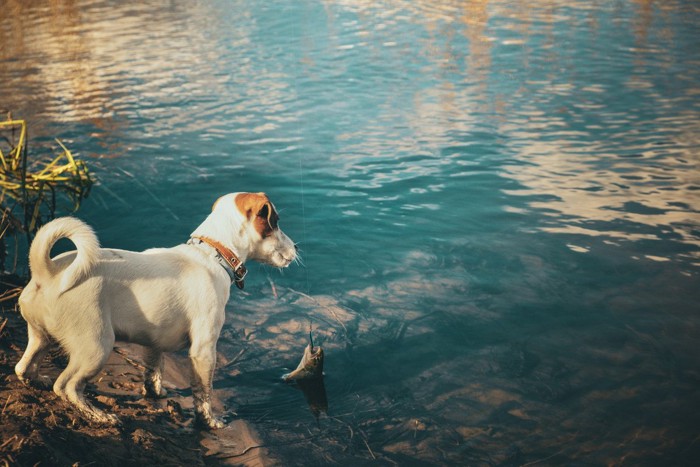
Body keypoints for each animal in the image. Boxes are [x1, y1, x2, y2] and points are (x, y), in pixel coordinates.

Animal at [14, 192, 298, 430]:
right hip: (96, 347)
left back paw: (37, 381)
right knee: (67, 386)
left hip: (41, 337)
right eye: (276, 223)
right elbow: (203, 392)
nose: (296, 248)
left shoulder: (155, 339)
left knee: (22, 367)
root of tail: (47, 273)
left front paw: (155, 393)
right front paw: (210, 421)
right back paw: (100, 416)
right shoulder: (204, 349)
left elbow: (153, 371)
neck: (210, 253)